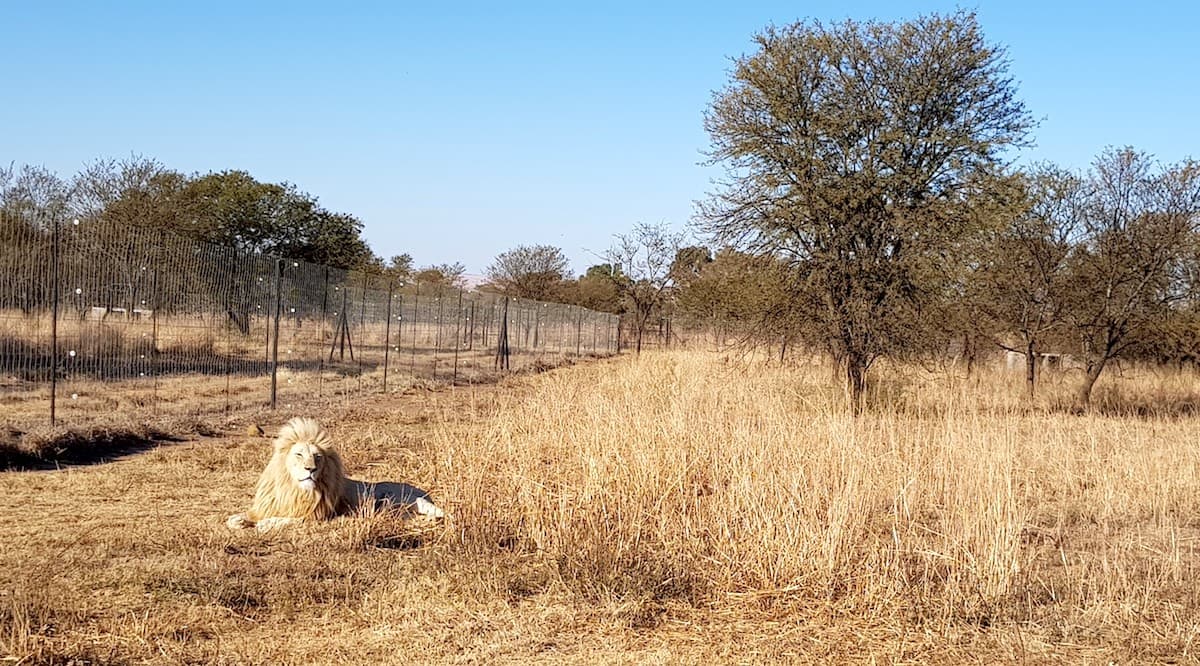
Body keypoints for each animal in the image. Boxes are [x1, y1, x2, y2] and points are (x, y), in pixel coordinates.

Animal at [226, 420, 444, 535]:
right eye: (299, 454)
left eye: (317, 456)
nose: (311, 469)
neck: (295, 490)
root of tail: (425, 493)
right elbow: (236, 518)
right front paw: (239, 520)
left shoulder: (316, 516)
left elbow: (287, 521)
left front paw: (266, 524)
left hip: (397, 498)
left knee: (439, 513)